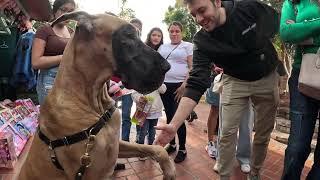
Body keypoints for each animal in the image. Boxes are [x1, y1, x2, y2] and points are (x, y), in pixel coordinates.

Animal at [17, 11, 175, 180]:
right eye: (128, 36)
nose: (167, 67)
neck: (94, 102)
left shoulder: (116, 145)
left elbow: (155, 148)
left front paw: (168, 169)